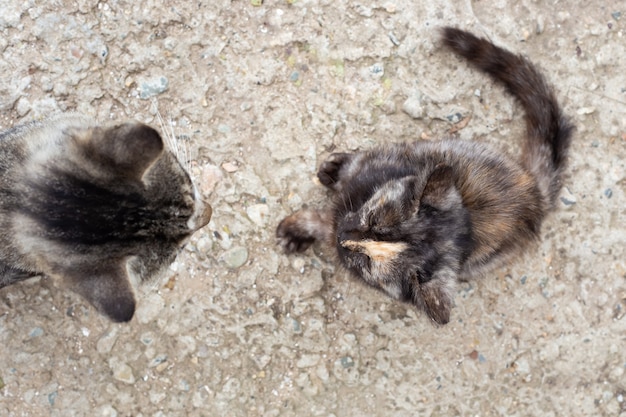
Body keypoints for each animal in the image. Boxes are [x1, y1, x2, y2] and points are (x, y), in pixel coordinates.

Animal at [276, 27, 572, 324]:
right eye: (372, 219)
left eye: (367, 262)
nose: (343, 237)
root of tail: (535, 191)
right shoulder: (380, 161)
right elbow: (354, 165)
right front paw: (332, 171)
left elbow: (320, 221)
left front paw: (297, 230)